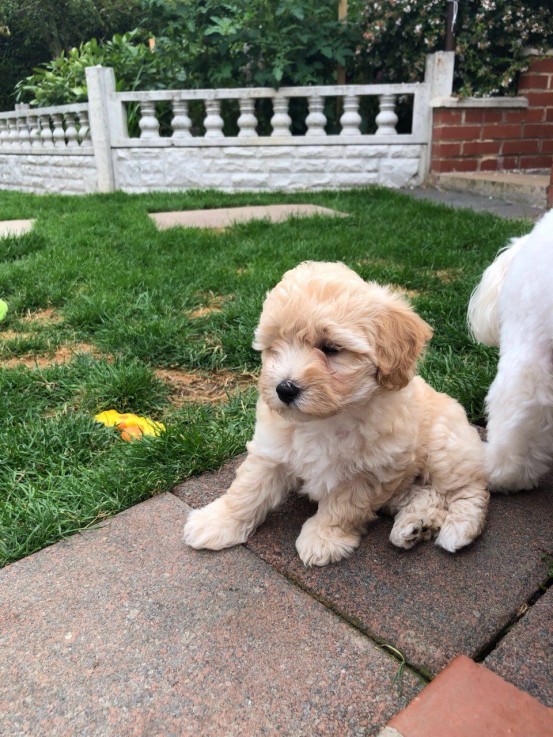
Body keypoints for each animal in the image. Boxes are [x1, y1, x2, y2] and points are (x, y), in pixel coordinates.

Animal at [183, 262, 486, 568]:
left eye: (331, 348)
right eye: (273, 347)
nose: (284, 389)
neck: (325, 418)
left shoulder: (369, 472)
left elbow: (343, 508)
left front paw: (323, 538)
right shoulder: (271, 450)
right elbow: (246, 490)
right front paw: (218, 521)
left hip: (445, 450)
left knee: (470, 489)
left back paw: (458, 529)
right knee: (427, 494)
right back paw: (413, 527)